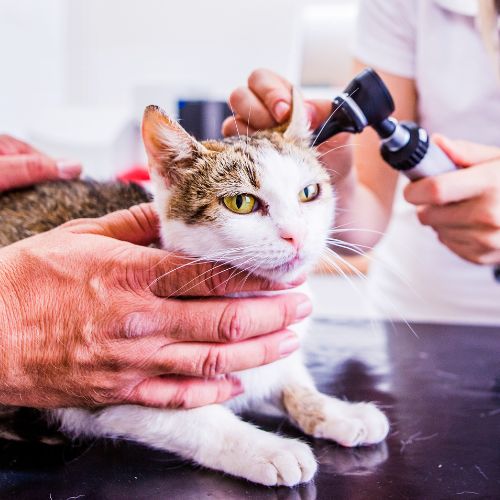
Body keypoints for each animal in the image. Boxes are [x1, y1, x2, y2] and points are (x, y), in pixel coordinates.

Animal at [0, 88, 388, 486]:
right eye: (240, 202)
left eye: (309, 192)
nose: (296, 235)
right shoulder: (108, 388)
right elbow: (198, 419)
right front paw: (266, 448)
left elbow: (285, 375)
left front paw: (333, 410)